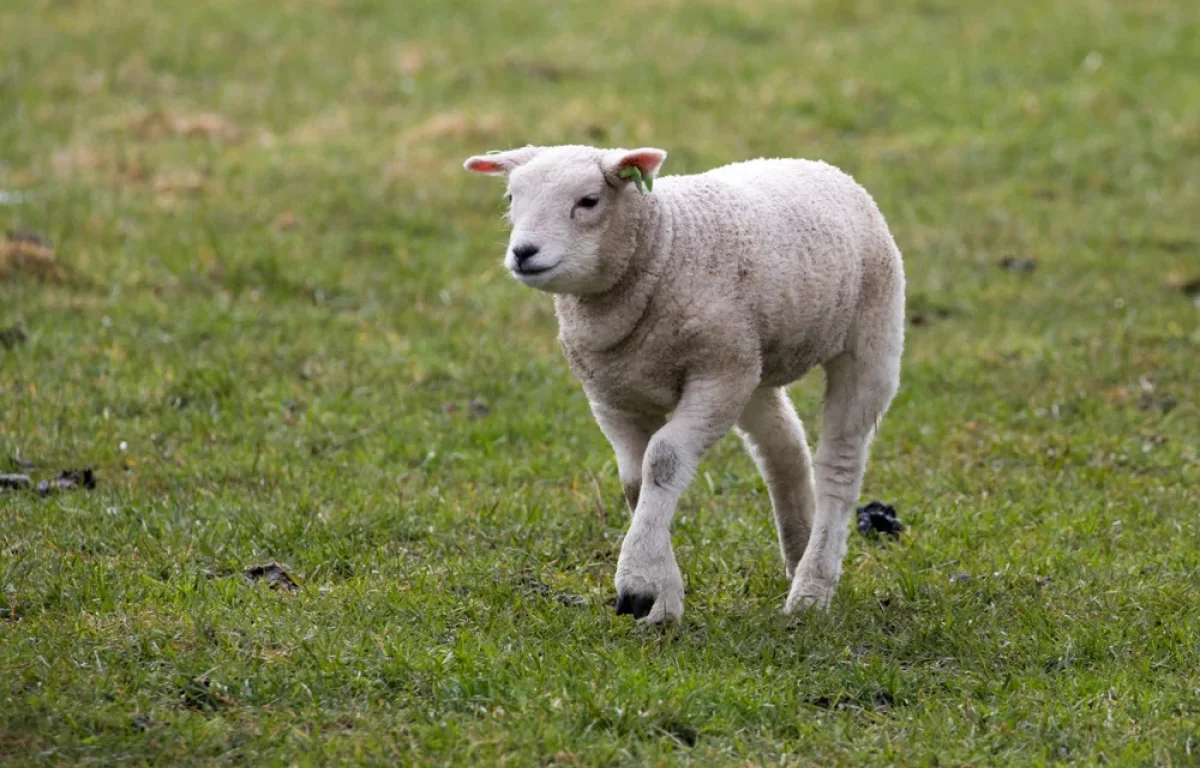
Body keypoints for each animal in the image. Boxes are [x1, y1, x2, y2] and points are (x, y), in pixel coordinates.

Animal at [463, 145, 902, 624]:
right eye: (510, 199)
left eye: (589, 201)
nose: (523, 252)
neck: (662, 245)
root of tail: (816, 164)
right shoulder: (613, 396)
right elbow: (635, 481)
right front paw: (661, 599)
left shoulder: (716, 377)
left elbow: (663, 462)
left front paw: (637, 579)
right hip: (752, 362)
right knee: (784, 448)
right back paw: (798, 550)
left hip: (866, 338)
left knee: (840, 463)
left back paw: (812, 587)